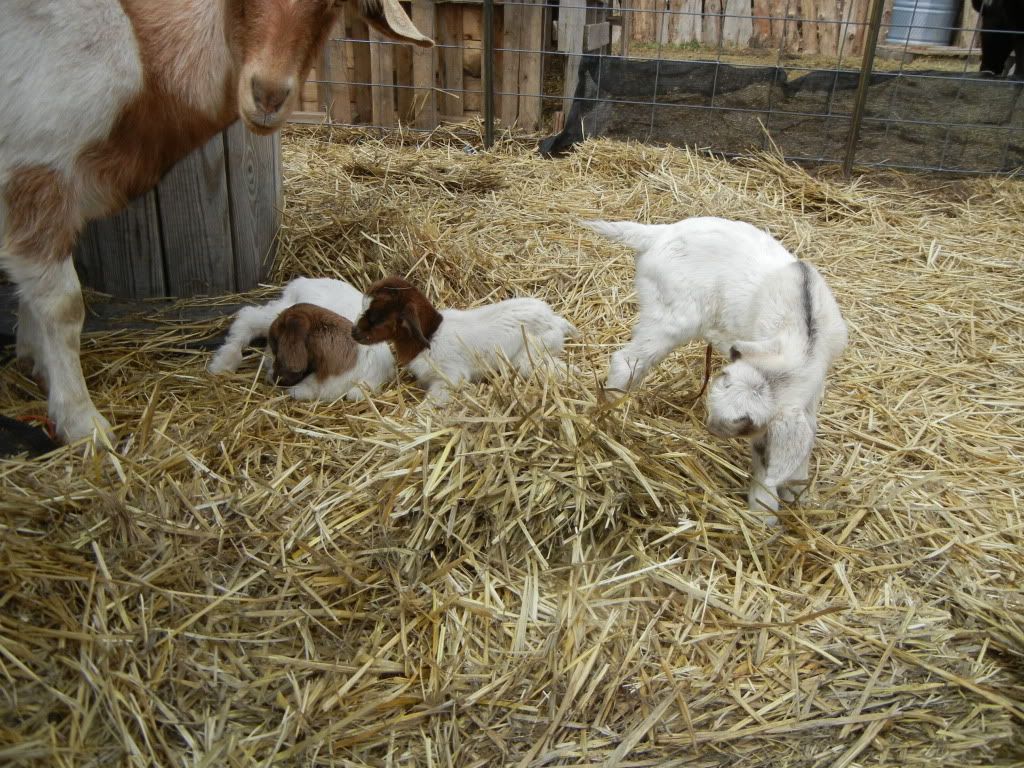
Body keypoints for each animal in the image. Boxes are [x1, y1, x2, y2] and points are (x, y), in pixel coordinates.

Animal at [351, 276, 577, 404]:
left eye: (376, 317)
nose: (354, 333)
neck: (431, 337)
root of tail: (553, 320)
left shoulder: (451, 376)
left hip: (531, 354)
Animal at [587, 217, 847, 523]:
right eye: (723, 380)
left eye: (746, 421)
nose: (712, 427)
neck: (805, 337)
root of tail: (659, 233)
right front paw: (764, 511)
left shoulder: (810, 389)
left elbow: (806, 432)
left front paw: (797, 492)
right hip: (671, 313)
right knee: (627, 360)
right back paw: (611, 409)